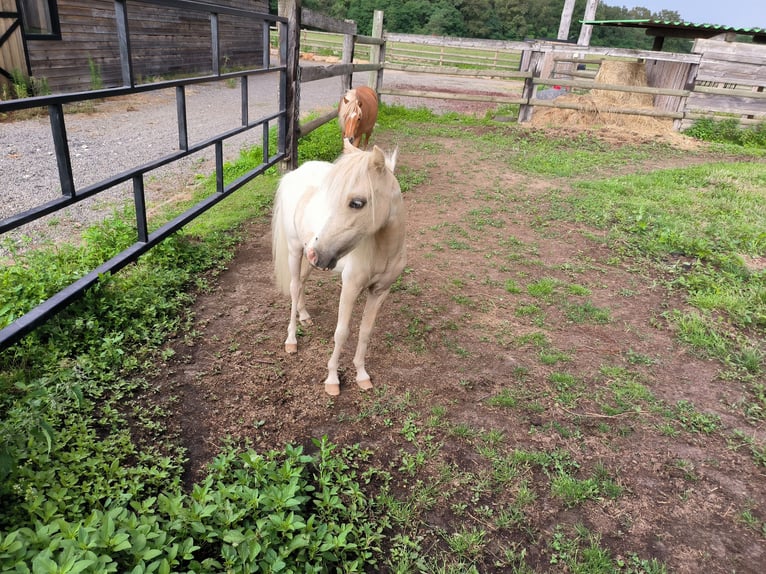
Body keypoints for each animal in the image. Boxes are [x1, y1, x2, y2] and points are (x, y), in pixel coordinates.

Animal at [271, 142, 406, 395]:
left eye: (357, 203)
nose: (318, 252)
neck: (382, 251)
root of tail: (293, 174)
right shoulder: (350, 287)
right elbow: (341, 333)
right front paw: (332, 379)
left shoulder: (380, 291)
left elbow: (365, 331)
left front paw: (362, 375)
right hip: (295, 250)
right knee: (294, 287)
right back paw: (291, 340)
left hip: (308, 259)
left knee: (301, 283)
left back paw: (305, 316)